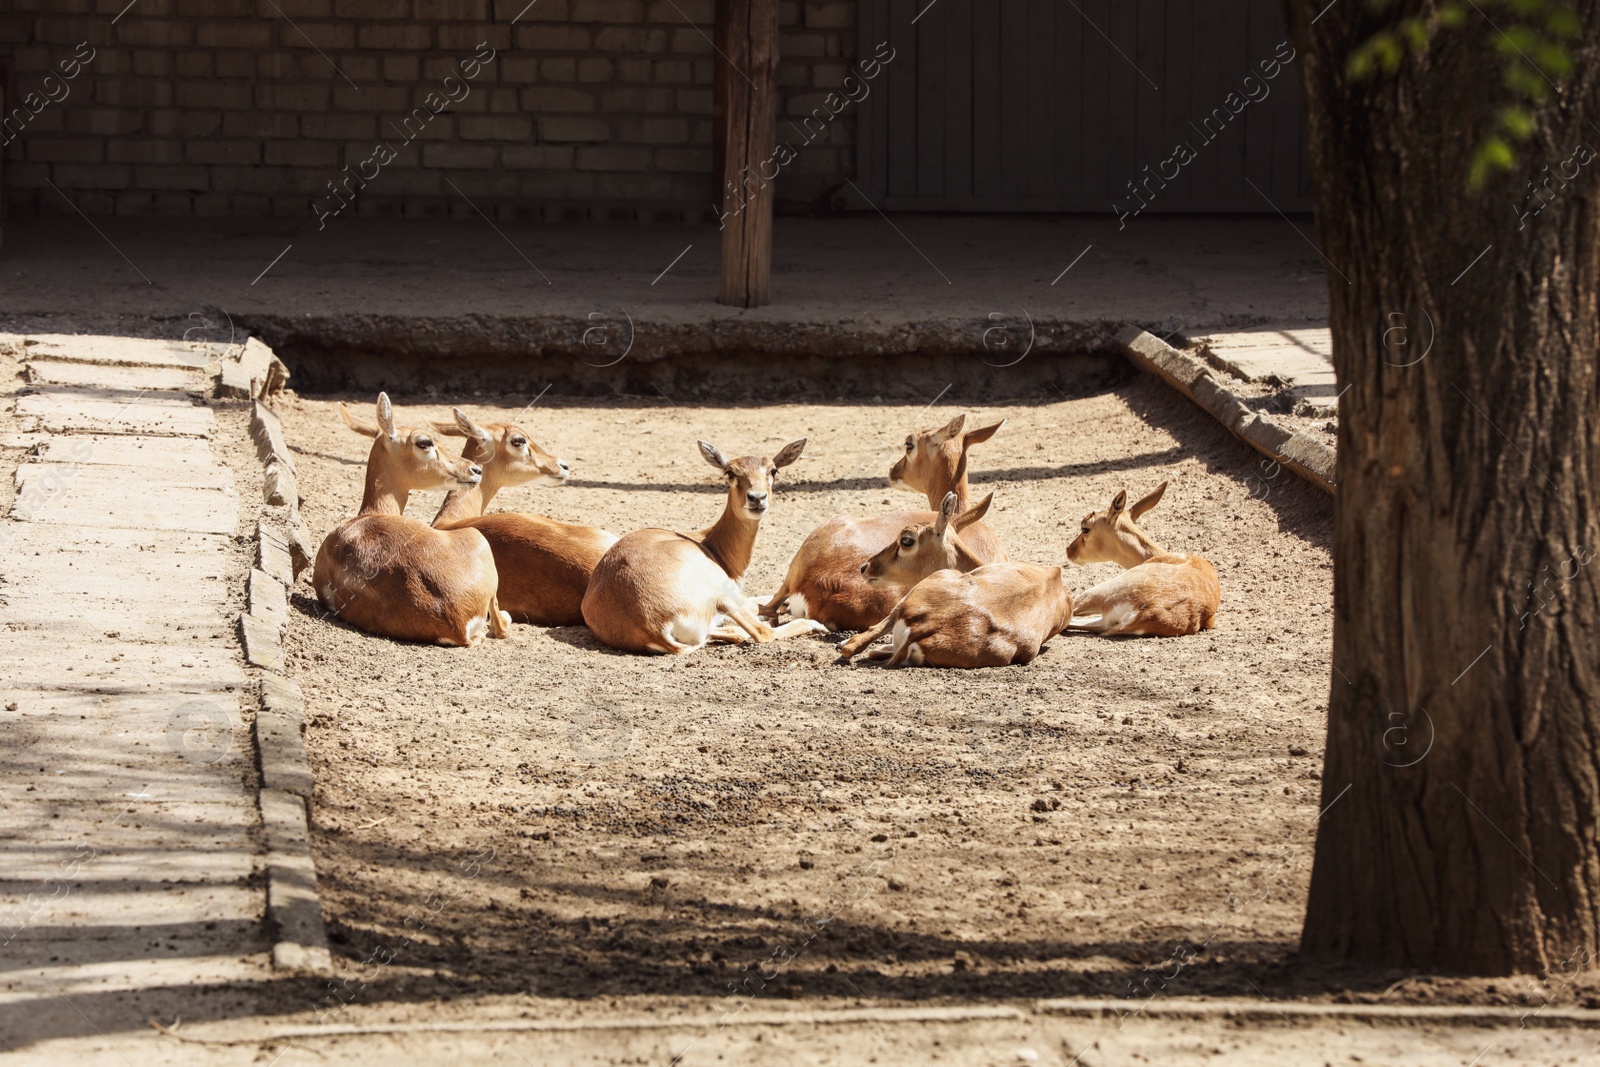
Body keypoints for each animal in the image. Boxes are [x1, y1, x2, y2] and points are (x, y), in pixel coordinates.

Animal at [582, 438, 825, 655]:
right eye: (730, 472)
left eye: (773, 470)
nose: (757, 498)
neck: (710, 545)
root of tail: (651, 627)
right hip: (721, 592)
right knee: (761, 631)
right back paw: (813, 624)